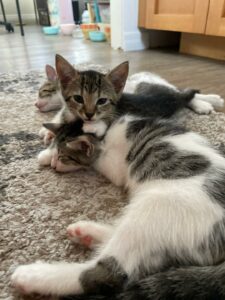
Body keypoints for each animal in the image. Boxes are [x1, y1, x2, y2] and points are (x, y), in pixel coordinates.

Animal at [11, 111, 225, 298]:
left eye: (65, 157)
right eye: (58, 153)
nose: (55, 164)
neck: (107, 135)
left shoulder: (114, 165)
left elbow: (96, 161)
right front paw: (47, 153)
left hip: (161, 206)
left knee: (107, 272)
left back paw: (34, 276)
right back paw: (88, 233)